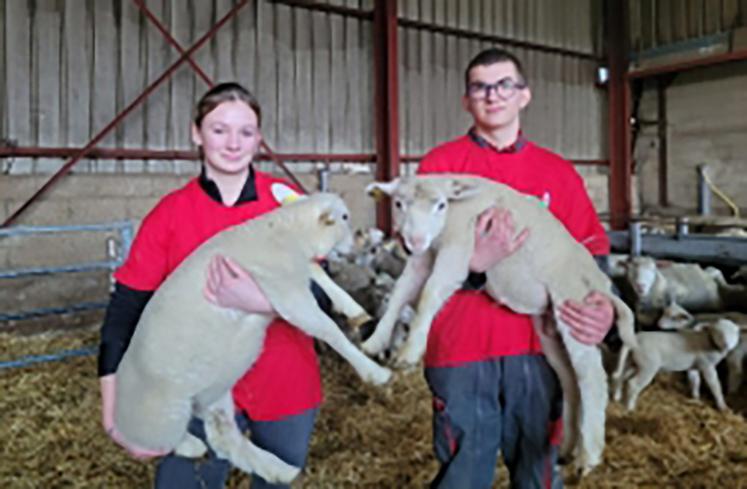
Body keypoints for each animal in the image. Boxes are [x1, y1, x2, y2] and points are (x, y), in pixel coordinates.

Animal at [114, 189, 392, 482]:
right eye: (345, 218)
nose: (361, 247)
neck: (287, 233)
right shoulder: (286, 292)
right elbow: (329, 329)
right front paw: (373, 371)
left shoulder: (295, 274)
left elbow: (318, 274)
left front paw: (352, 308)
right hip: (162, 415)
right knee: (155, 442)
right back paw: (190, 445)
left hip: (216, 390)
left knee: (225, 439)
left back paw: (282, 470)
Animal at [362, 173, 636, 474]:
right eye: (399, 204)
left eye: (441, 205)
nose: (416, 239)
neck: (445, 225)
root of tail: (602, 285)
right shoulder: (423, 257)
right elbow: (400, 293)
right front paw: (375, 341)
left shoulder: (458, 248)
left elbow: (430, 292)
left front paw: (409, 352)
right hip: (549, 323)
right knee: (569, 378)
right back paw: (566, 448)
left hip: (574, 302)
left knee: (591, 375)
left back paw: (589, 454)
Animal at [612, 318, 744, 410]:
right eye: (717, 332)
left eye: (734, 333)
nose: (726, 344)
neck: (709, 342)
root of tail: (635, 338)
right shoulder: (707, 365)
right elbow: (715, 385)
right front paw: (722, 406)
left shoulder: (694, 366)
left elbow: (695, 381)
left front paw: (695, 397)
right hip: (648, 365)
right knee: (633, 383)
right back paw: (629, 408)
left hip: (634, 362)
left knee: (622, 377)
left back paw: (617, 397)